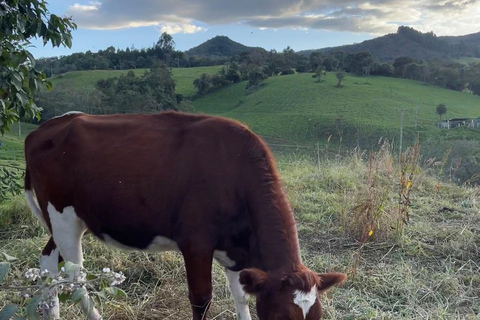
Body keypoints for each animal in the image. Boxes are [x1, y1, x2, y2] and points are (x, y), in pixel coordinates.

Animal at [24, 110, 344, 320]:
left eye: (317, 318)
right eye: (281, 318)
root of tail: (43, 128)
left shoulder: (236, 250)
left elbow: (241, 296)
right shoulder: (196, 243)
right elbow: (201, 300)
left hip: (69, 221)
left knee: (48, 262)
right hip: (62, 216)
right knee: (76, 279)